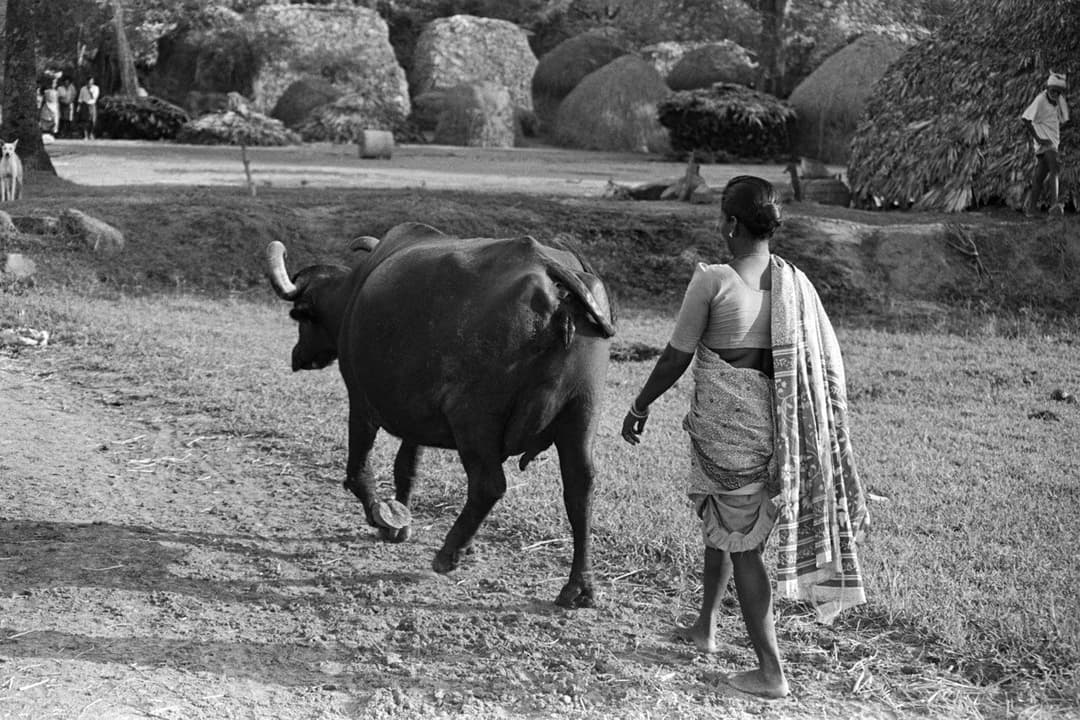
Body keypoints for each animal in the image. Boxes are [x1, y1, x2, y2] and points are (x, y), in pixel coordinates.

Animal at [266, 222, 616, 608]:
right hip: (582, 413)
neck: (356, 293)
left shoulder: (361, 401)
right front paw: (403, 522)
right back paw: (578, 586)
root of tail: (550, 270)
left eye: (301, 316)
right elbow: (407, 469)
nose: (298, 355)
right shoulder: (414, 417)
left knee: (489, 485)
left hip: (473, 418)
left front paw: (382, 518)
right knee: (580, 488)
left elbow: (358, 471)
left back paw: (449, 553)